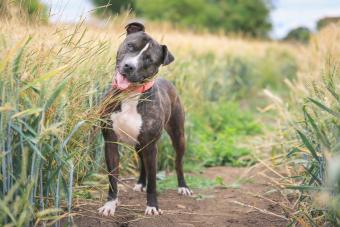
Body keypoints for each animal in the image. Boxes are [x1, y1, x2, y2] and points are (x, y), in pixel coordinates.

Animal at [99, 20, 191, 216]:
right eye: (130, 45)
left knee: (178, 162)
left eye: (149, 59)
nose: (129, 66)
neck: (130, 94)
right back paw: (141, 182)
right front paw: (110, 204)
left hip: (178, 136)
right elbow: (112, 178)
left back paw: (183, 186)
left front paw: (153, 206)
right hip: (139, 143)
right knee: (142, 163)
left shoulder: (151, 145)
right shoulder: (110, 141)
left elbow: (154, 182)